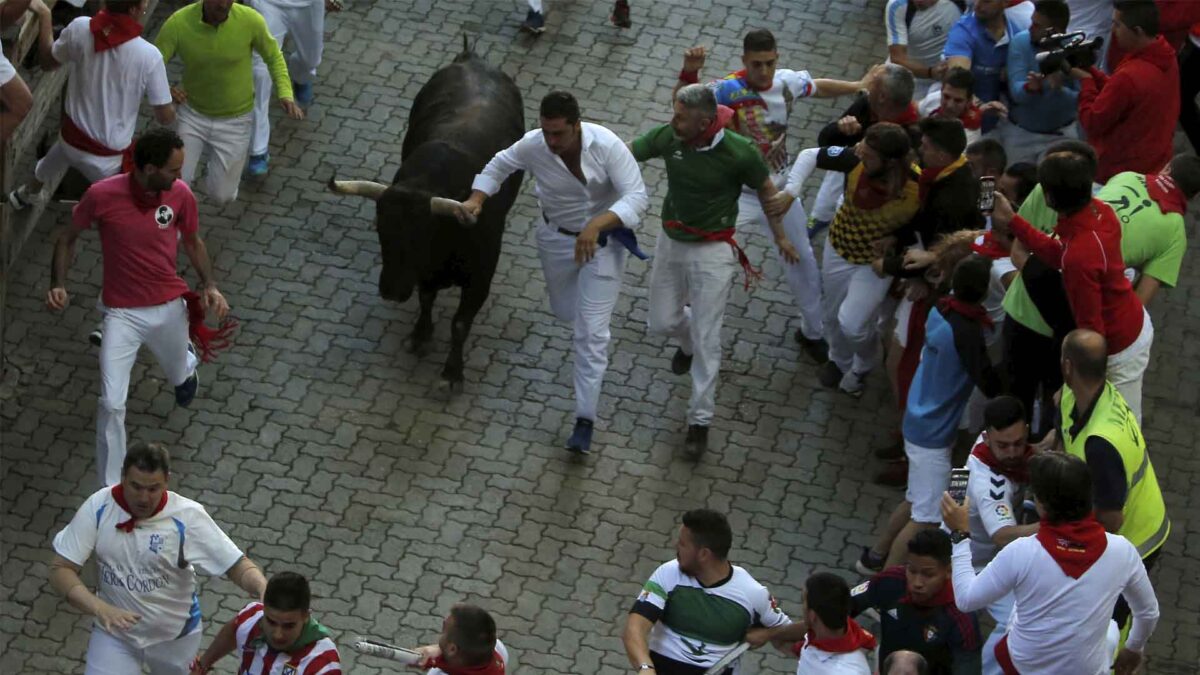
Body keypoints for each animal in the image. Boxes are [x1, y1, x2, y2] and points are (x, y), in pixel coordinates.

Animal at [328, 43, 520, 389]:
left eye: (420, 236)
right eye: (380, 230)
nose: (391, 290)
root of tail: (472, 59)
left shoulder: (481, 276)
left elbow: (460, 324)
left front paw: (452, 373)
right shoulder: (426, 274)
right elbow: (426, 298)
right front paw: (420, 334)